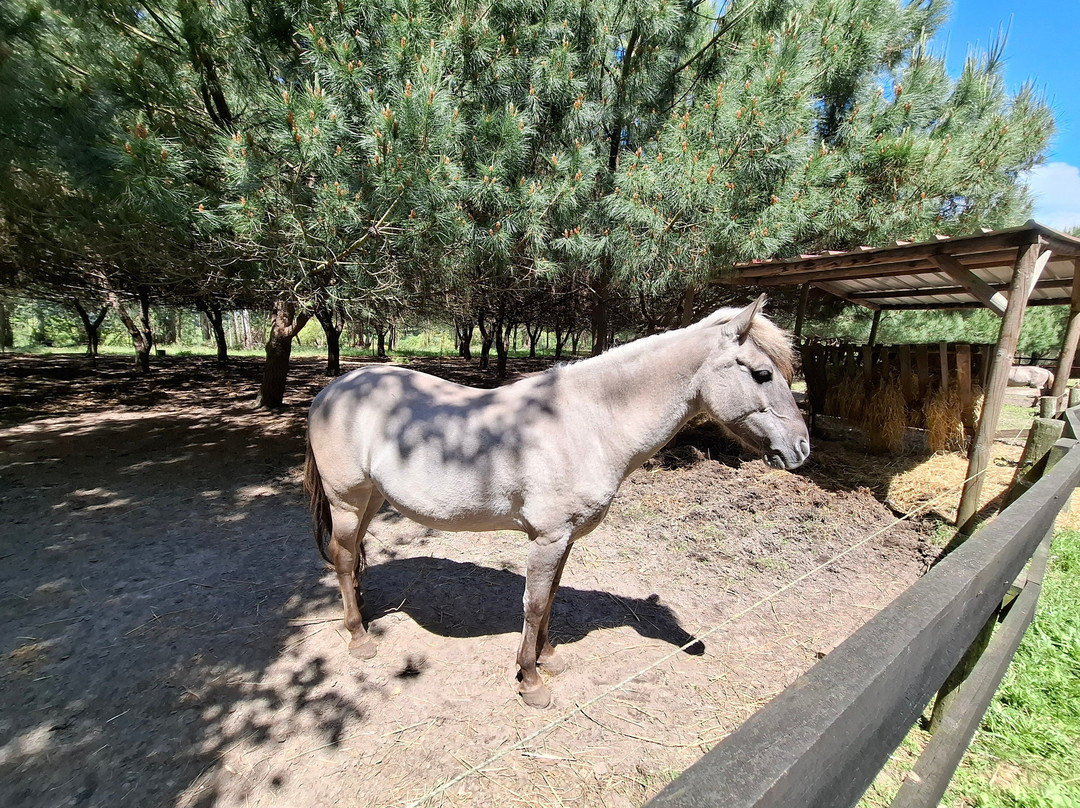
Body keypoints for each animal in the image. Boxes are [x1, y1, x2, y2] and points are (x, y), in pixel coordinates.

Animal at [303, 295, 810, 708]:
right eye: (762, 374)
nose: (801, 448)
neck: (589, 421)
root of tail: (330, 392)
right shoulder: (546, 537)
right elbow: (533, 602)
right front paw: (530, 680)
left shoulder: (564, 538)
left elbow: (550, 599)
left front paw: (548, 658)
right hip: (347, 501)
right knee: (343, 559)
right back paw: (359, 638)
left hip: (371, 499)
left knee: (352, 555)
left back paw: (361, 613)